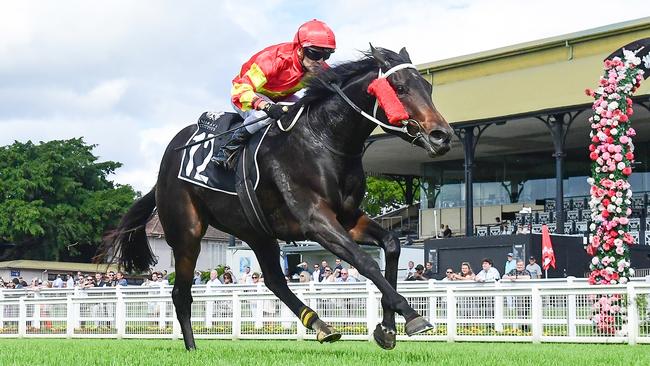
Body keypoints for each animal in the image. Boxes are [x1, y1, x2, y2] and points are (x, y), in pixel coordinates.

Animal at [105, 45, 450, 348]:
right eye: (399, 87)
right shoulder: (315, 220)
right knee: (181, 293)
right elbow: (366, 262)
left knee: (274, 280)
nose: (441, 135)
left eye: (428, 87)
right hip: (187, 232)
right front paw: (412, 315)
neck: (323, 140)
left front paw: (388, 328)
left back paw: (319, 323)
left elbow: (391, 245)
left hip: (256, 231)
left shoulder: (349, 218)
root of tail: (165, 166)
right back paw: (192, 348)